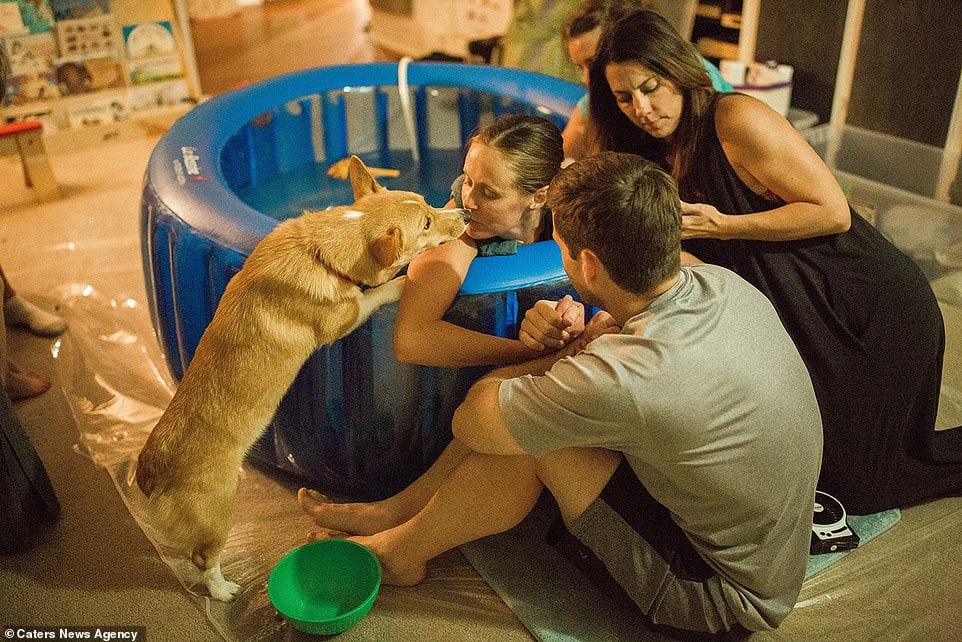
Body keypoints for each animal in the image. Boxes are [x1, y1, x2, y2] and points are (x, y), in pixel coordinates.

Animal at [135, 156, 464, 600]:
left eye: (430, 204)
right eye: (427, 224)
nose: (464, 215)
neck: (322, 249)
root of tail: (151, 471)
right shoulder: (346, 317)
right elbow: (373, 294)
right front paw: (401, 282)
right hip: (217, 514)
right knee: (204, 559)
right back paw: (225, 591)